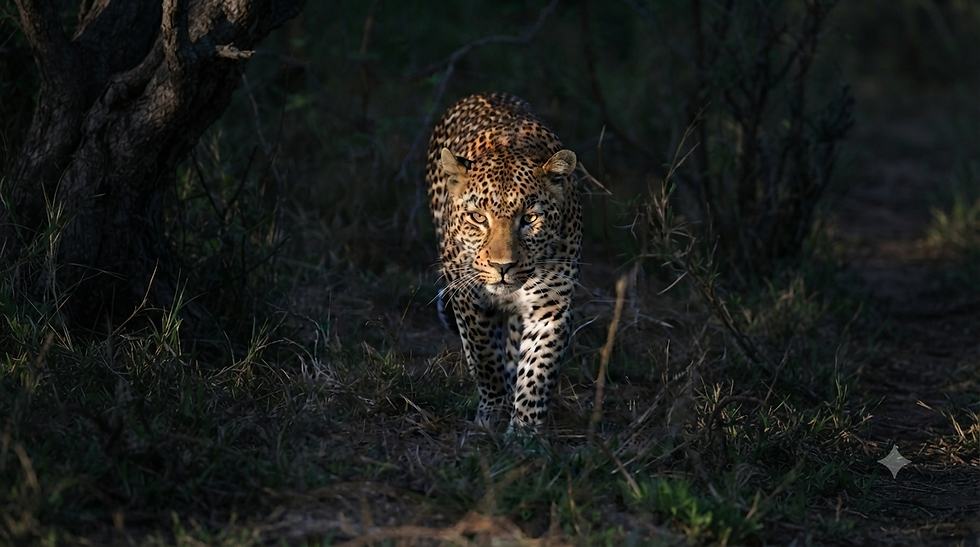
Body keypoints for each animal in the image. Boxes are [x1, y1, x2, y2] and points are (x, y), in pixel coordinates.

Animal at [425, 92, 582, 433]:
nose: (502, 267)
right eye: (477, 217)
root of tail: (482, 94)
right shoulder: (467, 296)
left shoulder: (551, 306)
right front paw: (493, 410)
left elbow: (538, 370)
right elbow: (484, 354)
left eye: (530, 219)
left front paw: (525, 431)